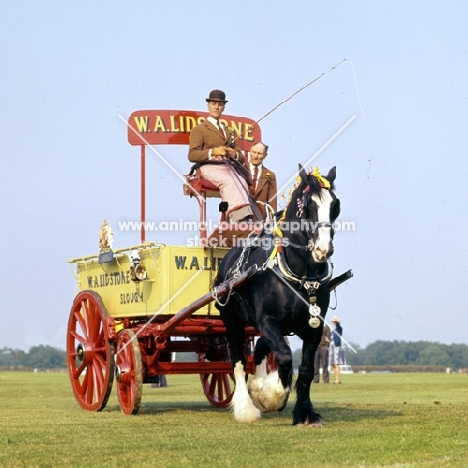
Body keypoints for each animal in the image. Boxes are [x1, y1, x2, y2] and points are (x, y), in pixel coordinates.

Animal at [215, 166, 340, 426]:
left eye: (335, 205)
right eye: (308, 205)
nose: (323, 249)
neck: (300, 276)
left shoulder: (313, 326)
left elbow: (306, 369)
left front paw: (305, 412)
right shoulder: (267, 321)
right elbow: (283, 357)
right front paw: (270, 394)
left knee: (260, 351)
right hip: (232, 320)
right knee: (238, 360)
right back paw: (245, 407)